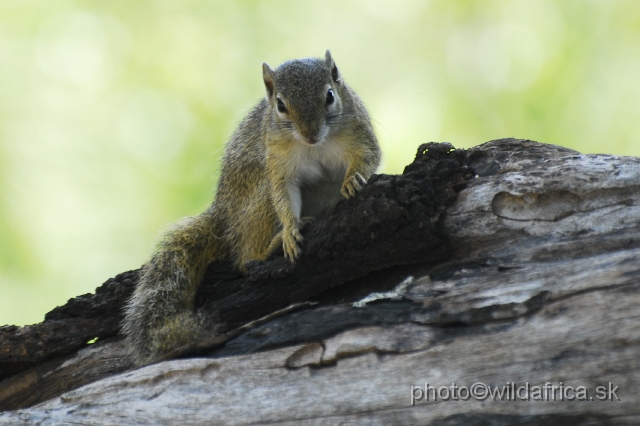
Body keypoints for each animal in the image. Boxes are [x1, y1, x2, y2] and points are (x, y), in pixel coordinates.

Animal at [122, 49, 380, 362]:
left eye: (330, 95)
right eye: (280, 105)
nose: (310, 133)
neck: (315, 146)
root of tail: (223, 216)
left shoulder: (359, 133)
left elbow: (368, 157)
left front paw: (353, 180)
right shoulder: (279, 164)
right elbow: (284, 195)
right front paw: (290, 230)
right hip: (258, 199)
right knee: (245, 259)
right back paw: (270, 246)